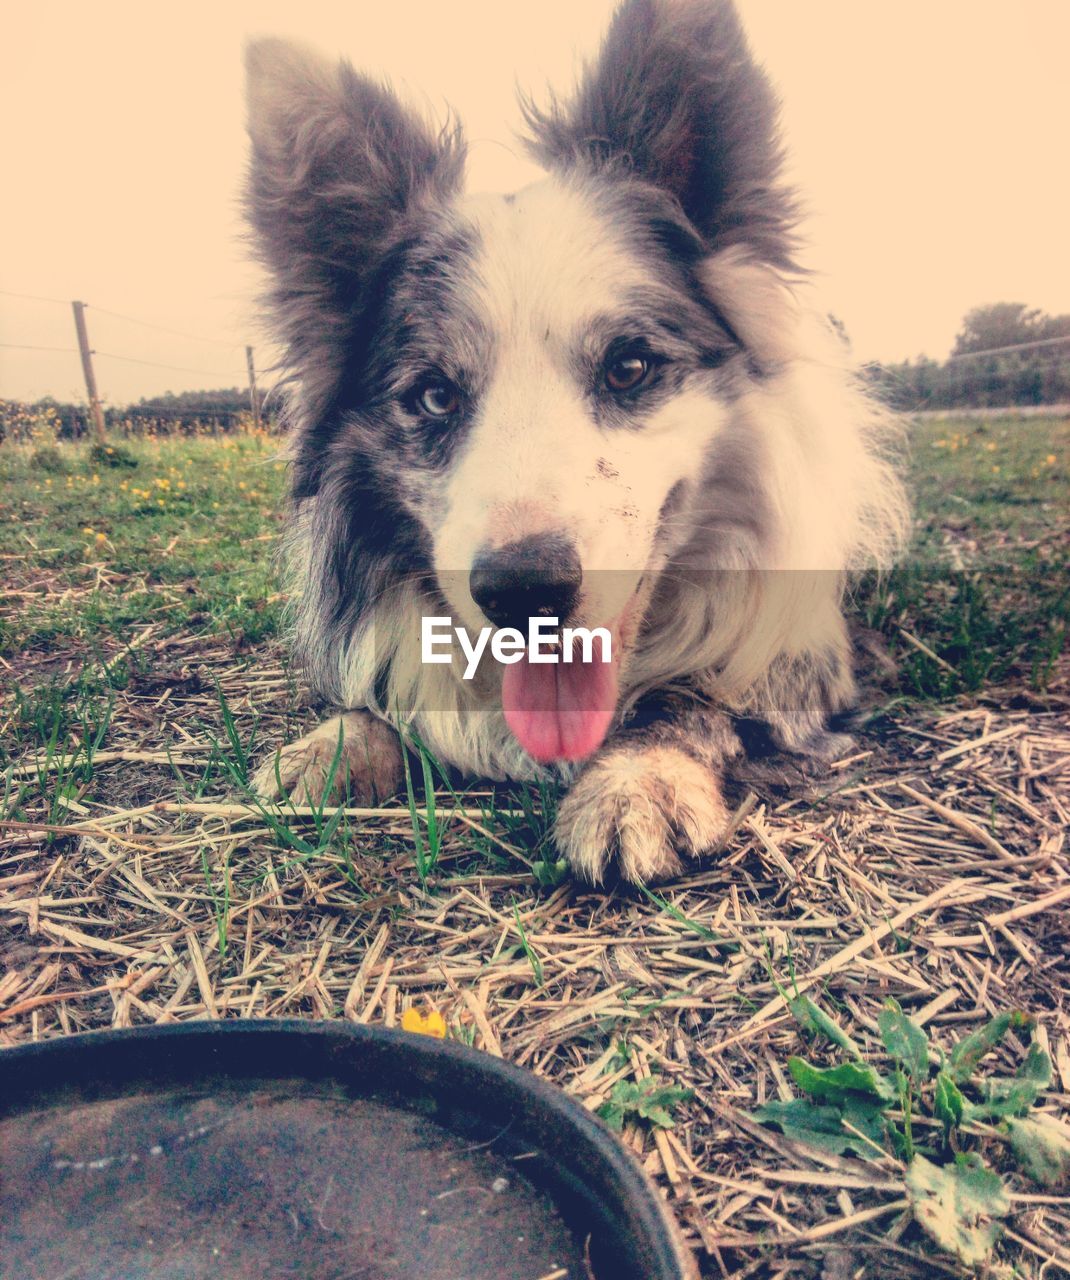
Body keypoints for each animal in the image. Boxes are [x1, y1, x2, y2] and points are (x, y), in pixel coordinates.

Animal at [247, 0, 906, 885]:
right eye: (433, 395)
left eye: (629, 366)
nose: (524, 593)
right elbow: (381, 696)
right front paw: (332, 745)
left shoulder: (798, 666)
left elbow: (693, 700)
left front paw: (636, 782)